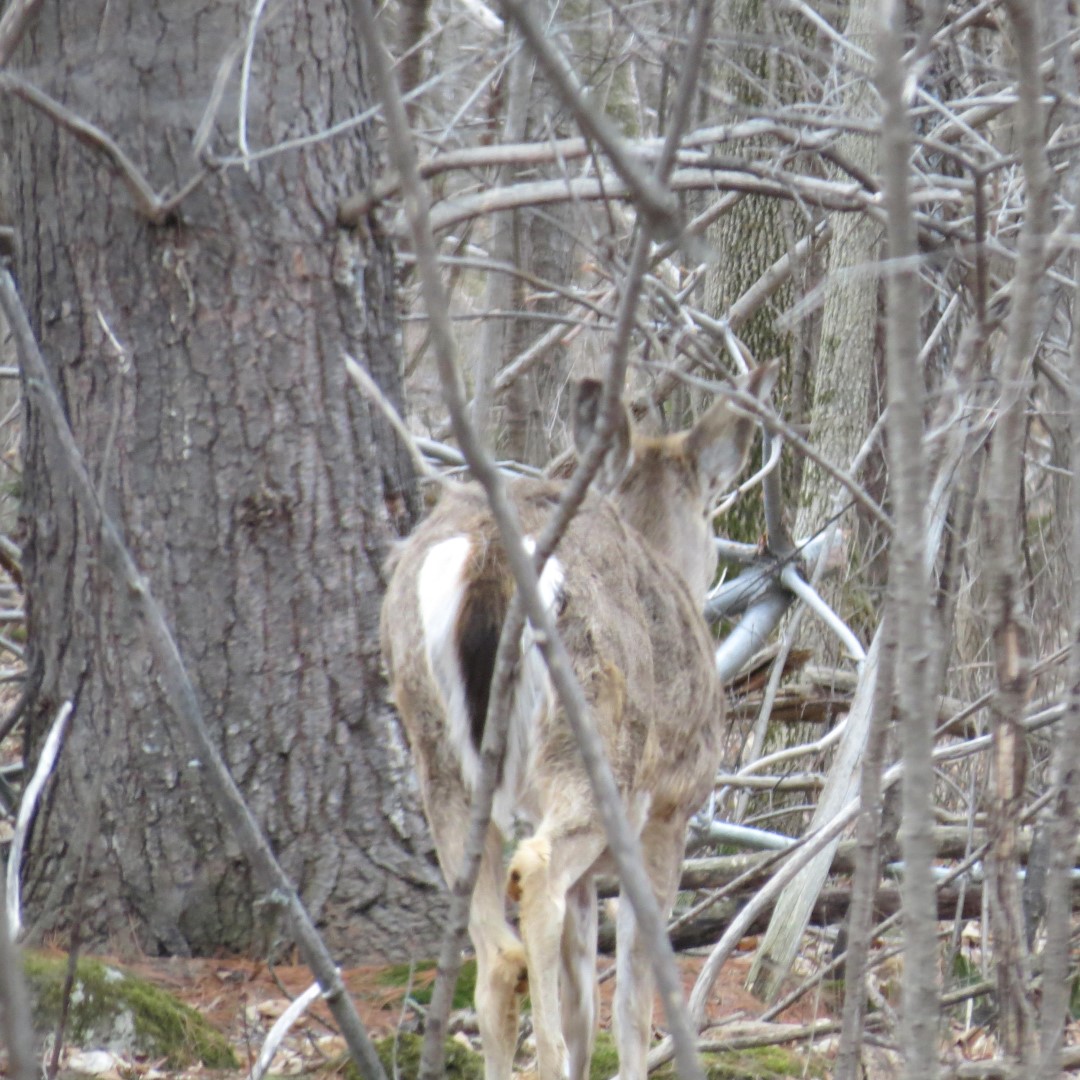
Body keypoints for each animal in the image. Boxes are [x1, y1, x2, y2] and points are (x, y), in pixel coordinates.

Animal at [380, 363, 776, 1080]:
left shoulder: (591, 872)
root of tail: (488, 549)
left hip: (440, 752)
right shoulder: (671, 810)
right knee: (535, 875)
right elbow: (630, 996)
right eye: (711, 508)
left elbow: (581, 1000)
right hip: (594, 742)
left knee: (496, 954)